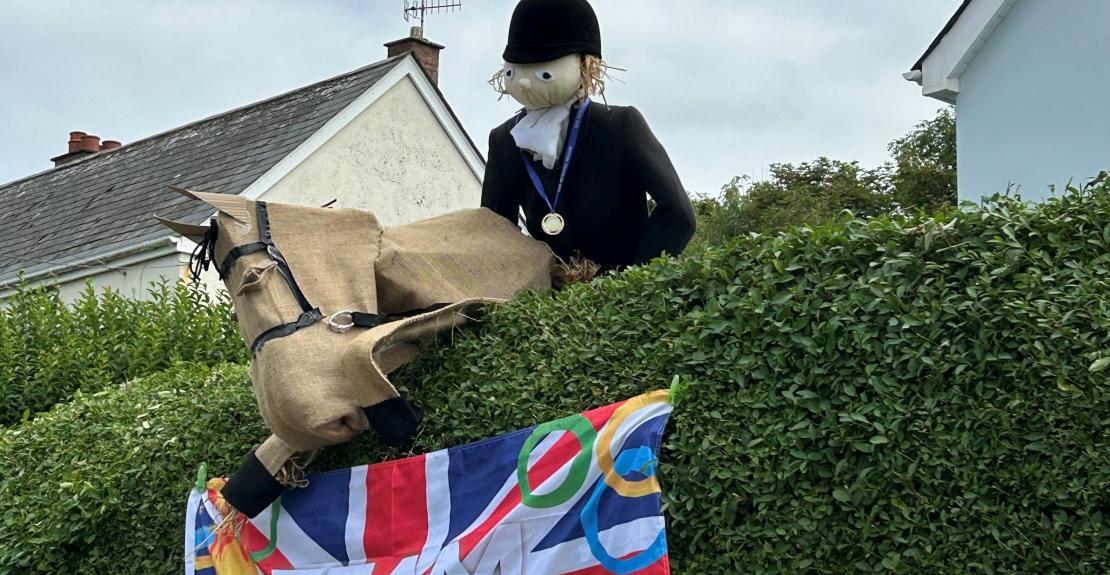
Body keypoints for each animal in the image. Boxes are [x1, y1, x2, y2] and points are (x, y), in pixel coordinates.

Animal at [159, 190, 550, 519]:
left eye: (253, 278)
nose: (303, 422)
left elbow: (360, 356)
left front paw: (395, 417)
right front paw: (245, 488)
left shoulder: (462, 309)